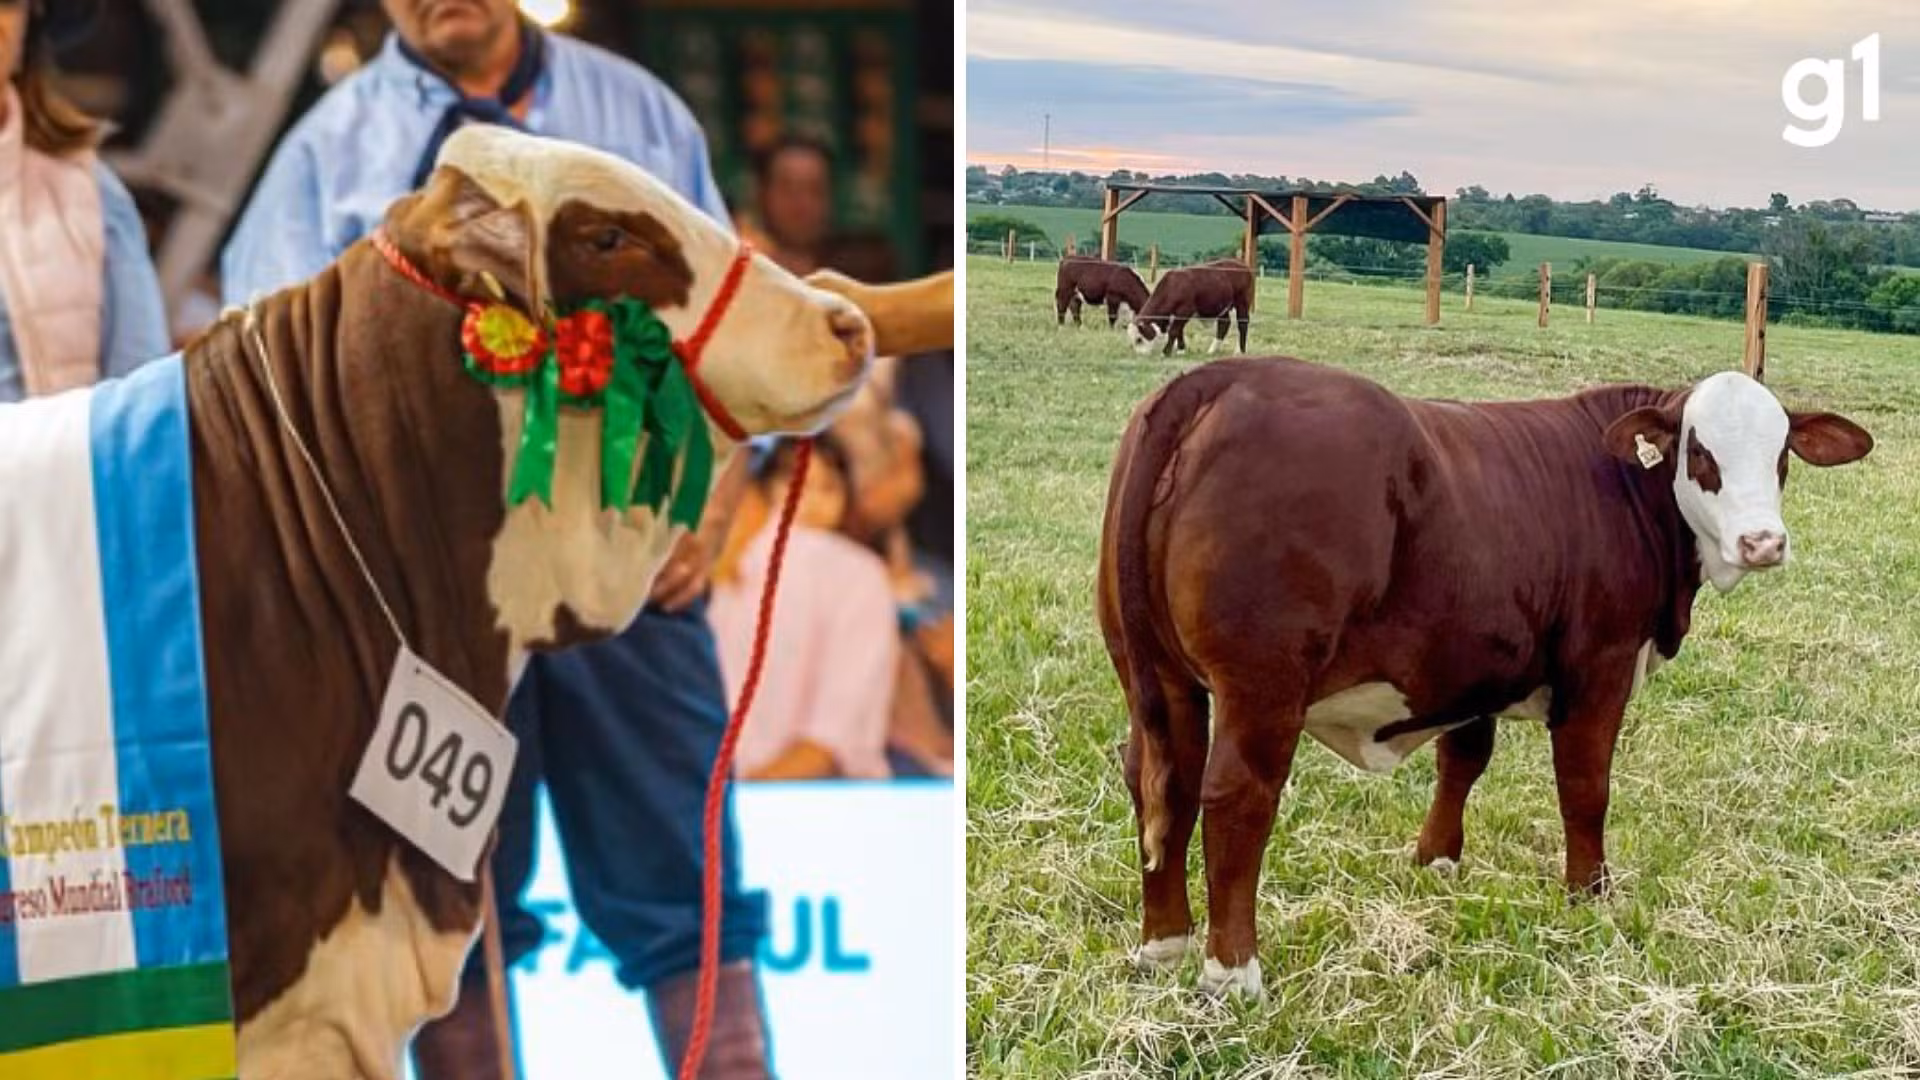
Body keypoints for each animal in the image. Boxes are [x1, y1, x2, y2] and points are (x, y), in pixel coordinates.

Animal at [1097, 358, 1871, 1000]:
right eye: (1700, 452)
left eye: (1780, 454)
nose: (1763, 543)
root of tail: (1221, 377)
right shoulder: (1600, 666)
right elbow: (1585, 789)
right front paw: (1588, 894)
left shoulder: (1472, 664)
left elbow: (1462, 760)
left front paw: (1437, 861)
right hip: (1261, 688)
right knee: (1235, 797)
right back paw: (1233, 972)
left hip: (1155, 676)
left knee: (1160, 779)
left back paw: (1165, 944)